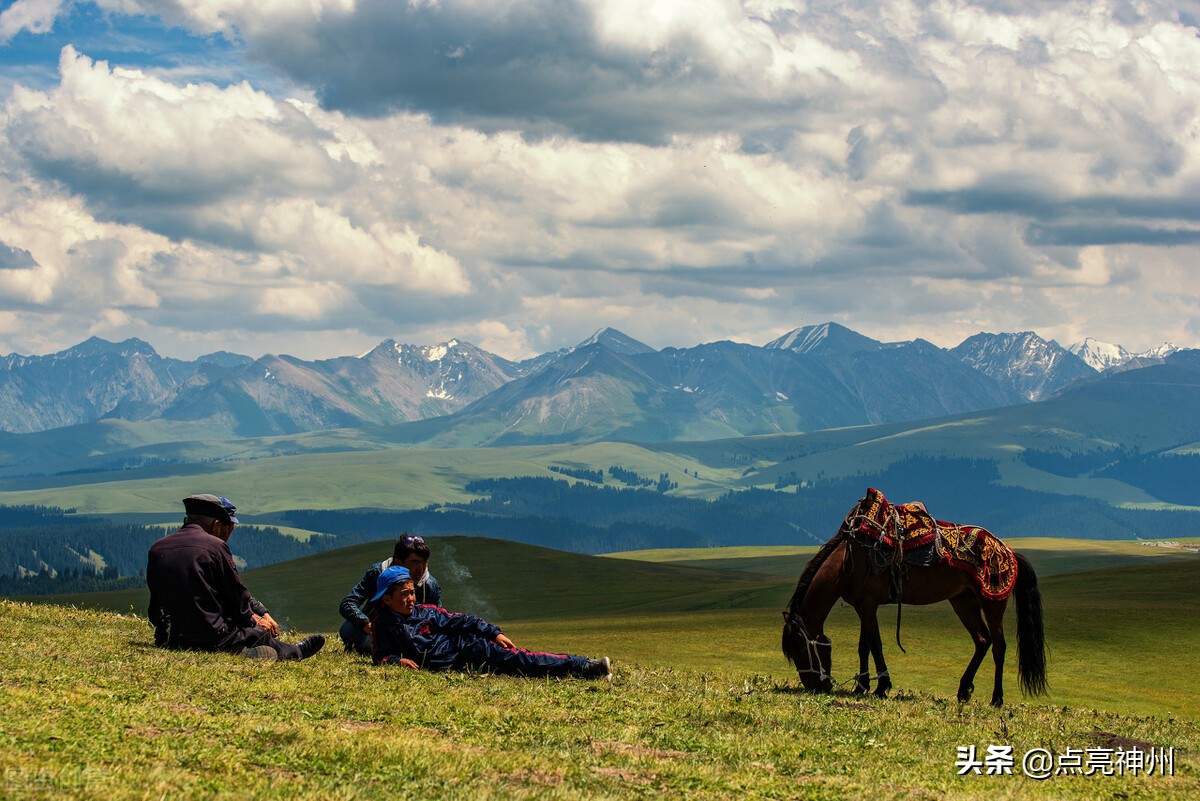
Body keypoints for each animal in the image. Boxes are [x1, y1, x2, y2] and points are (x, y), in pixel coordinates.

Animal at [782, 510, 1046, 705]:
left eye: (799, 649)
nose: (817, 687)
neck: (846, 561)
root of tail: (1007, 550)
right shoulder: (866, 606)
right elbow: (872, 644)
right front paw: (875, 686)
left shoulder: (866, 604)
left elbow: (867, 646)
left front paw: (868, 687)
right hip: (963, 601)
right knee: (982, 640)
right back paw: (963, 691)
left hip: (992, 602)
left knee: (999, 646)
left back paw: (996, 699)